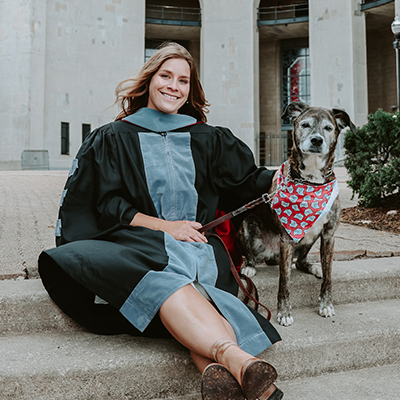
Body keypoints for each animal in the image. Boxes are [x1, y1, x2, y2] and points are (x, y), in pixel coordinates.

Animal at [236, 101, 354, 326]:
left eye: (328, 128)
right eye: (305, 124)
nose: (317, 140)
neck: (311, 180)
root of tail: (271, 255)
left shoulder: (329, 235)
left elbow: (329, 277)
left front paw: (326, 304)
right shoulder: (287, 238)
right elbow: (284, 281)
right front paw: (284, 313)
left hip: (309, 238)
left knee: (299, 262)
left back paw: (314, 267)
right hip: (249, 222)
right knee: (256, 255)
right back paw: (249, 266)